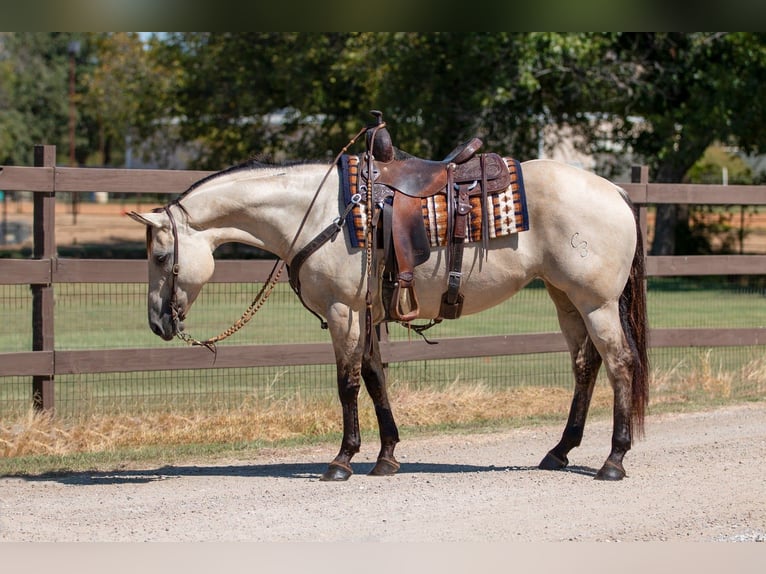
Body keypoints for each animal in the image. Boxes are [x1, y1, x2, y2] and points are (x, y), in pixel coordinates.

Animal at [130, 119, 648, 484]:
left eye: (160, 256)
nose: (157, 323)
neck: (322, 211)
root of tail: (616, 191)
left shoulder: (342, 311)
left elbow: (347, 383)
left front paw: (342, 459)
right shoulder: (366, 313)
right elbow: (376, 378)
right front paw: (386, 456)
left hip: (596, 302)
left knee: (620, 363)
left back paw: (613, 459)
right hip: (566, 299)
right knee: (586, 366)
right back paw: (560, 451)